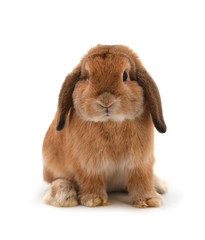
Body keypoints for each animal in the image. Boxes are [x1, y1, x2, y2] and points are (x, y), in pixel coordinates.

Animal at [42, 44, 168, 207]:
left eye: (125, 76)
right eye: (88, 77)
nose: (105, 101)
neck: (111, 123)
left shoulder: (140, 163)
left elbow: (141, 180)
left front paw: (149, 200)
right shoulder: (88, 165)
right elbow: (92, 180)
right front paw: (94, 200)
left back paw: (159, 185)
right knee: (59, 179)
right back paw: (63, 195)